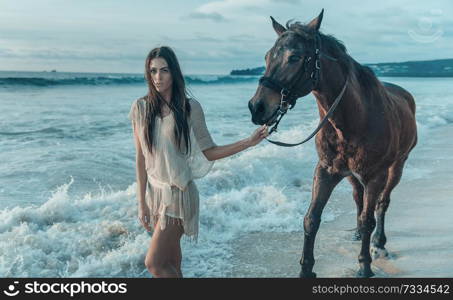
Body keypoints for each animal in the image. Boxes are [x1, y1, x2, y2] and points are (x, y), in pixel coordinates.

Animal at [247, 9, 416, 276]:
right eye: (266, 56)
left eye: (295, 57)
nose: (257, 107)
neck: (355, 117)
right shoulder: (326, 171)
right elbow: (312, 218)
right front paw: (306, 269)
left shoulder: (375, 175)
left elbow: (369, 219)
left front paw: (365, 266)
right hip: (351, 175)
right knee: (358, 198)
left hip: (397, 166)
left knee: (382, 203)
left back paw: (379, 243)